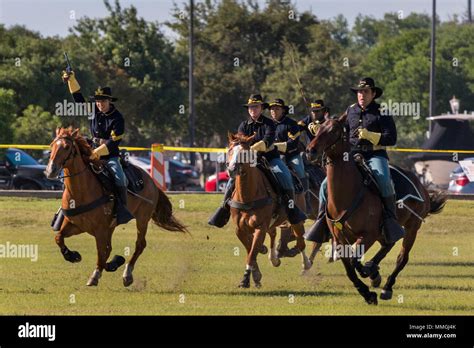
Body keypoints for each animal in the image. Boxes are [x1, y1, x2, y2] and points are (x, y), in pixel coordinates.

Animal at [43, 127, 186, 286]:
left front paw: (95, 275)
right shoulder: (77, 226)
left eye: (67, 147)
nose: (51, 170)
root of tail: (152, 182)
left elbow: (100, 252)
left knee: (139, 244)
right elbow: (59, 237)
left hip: (142, 219)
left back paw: (127, 274)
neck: (81, 192)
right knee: (110, 248)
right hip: (111, 226)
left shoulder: (99, 230)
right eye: (52, 146)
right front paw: (72, 256)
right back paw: (114, 264)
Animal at [227, 133, 312, 288]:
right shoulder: (239, 229)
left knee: (300, 241)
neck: (248, 196)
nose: (232, 169)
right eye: (230, 150)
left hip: (296, 219)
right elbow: (250, 250)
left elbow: (252, 253)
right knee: (273, 233)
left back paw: (306, 264)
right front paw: (256, 275)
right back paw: (273, 258)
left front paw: (246, 279)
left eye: (244, 153)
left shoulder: (260, 228)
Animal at [306, 115, 446, 304]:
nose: (310, 150)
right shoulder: (340, 238)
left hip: (412, 228)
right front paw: (367, 291)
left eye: (334, 130)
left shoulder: (368, 234)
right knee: (387, 244)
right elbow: (350, 268)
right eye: (318, 128)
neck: (348, 194)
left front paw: (368, 278)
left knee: (402, 258)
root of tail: (421, 185)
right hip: (385, 231)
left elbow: (355, 259)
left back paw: (386, 286)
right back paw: (374, 272)